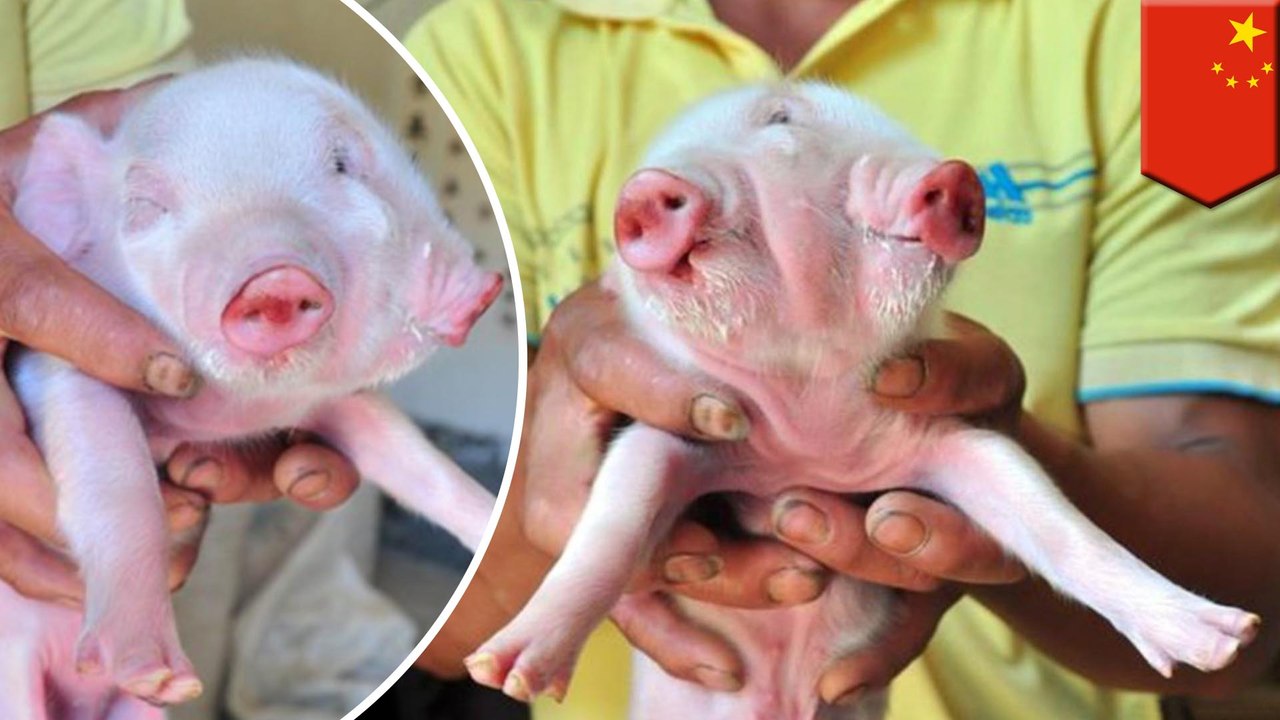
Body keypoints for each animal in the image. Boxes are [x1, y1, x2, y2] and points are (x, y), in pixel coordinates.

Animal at [1, 58, 503, 719]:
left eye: (340, 164)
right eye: (145, 205)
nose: (274, 276)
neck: (233, 412)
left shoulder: (333, 404)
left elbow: (415, 461)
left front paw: (489, 519)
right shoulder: (58, 366)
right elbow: (116, 480)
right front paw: (157, 674)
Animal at [463, 83, 1261, 719]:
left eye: (781, 118)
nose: (952, 175)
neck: (808, 407)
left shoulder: (947, 439)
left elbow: (1054, 521)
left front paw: (1227, 638)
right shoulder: (679, 432)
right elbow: (613, 528)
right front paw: (504, 670)